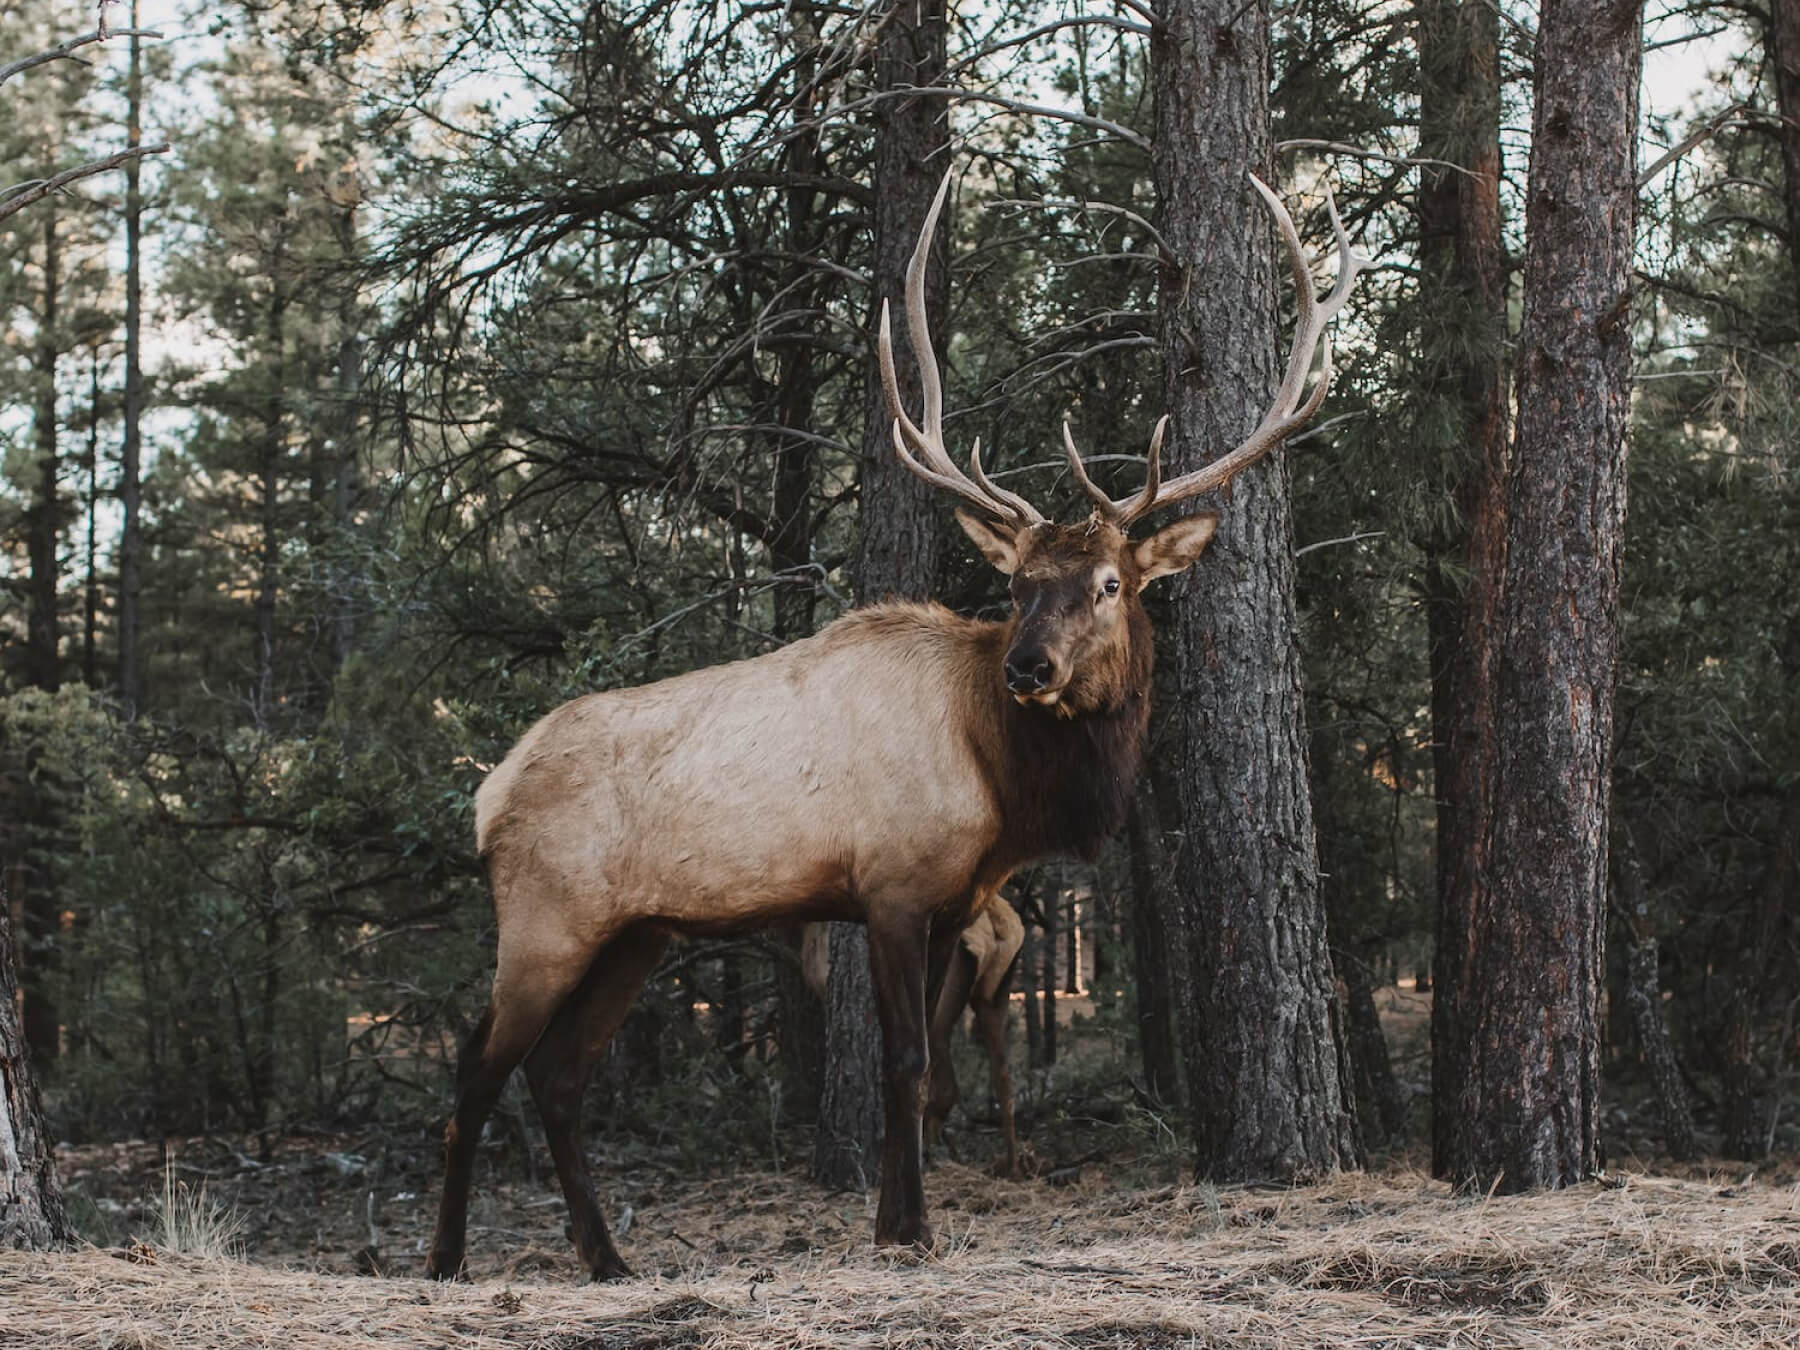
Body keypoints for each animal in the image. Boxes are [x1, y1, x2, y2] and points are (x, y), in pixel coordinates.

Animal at [425, 170, 1363, 1281]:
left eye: (1105, 583)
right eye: (1016, 583)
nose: (1029, 666)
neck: (1005, 787)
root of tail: (488, 795)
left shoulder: (955, 902)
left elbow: (923, 1065)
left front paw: (891, 1221)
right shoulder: (892, 887)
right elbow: (908, 1062)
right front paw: (909, 1228)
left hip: (635, 933)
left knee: (558, 1077)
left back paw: (609, 1259)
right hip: (545, 916)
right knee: (477, 1069)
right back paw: (447, 1258)